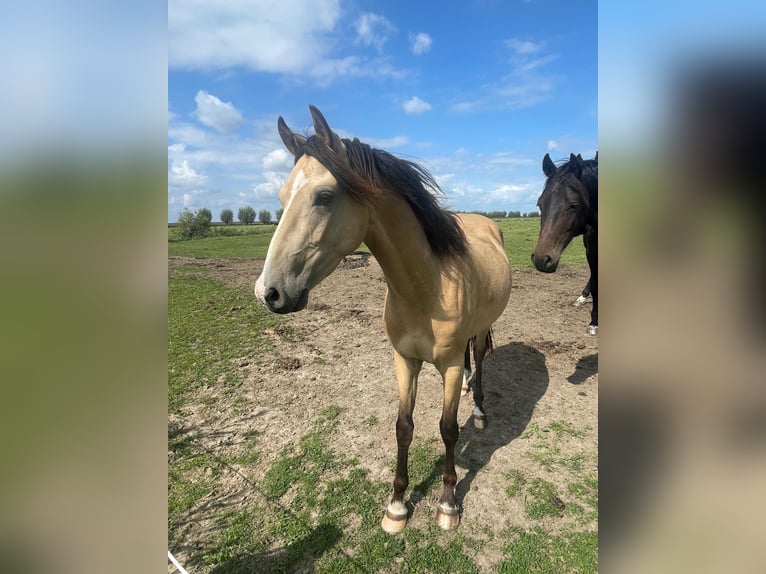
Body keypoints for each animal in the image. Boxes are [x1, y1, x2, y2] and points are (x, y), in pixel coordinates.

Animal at [254, 105, 512, 533]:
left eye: (324, 196)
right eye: (281, 197)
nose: (268, 292)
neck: (427, 289)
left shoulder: (448, 365)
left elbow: (447, 429)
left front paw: (447, 504)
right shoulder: (404, 361)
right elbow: (403, 427)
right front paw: (396, 506)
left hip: (478, 333)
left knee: (478, 359)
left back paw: (477, 410)